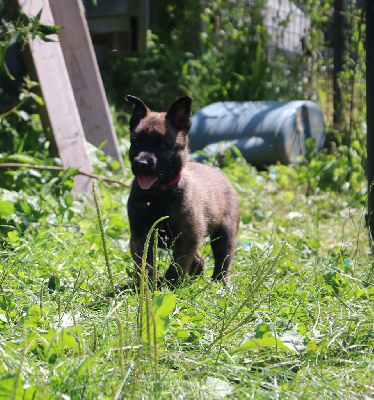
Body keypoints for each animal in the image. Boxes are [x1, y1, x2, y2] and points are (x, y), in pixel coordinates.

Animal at [125, 95, 240, 286]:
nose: (141, 164)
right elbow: (144, 265)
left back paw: (219, 283)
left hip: (224, 234)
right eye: (136, 143)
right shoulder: (140, 235)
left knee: (223, 261)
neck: (158, 195)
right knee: (199, 260)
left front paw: (169, 285)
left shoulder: (188, 235)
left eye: (163, 144)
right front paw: (147, 285)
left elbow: (177, 265)